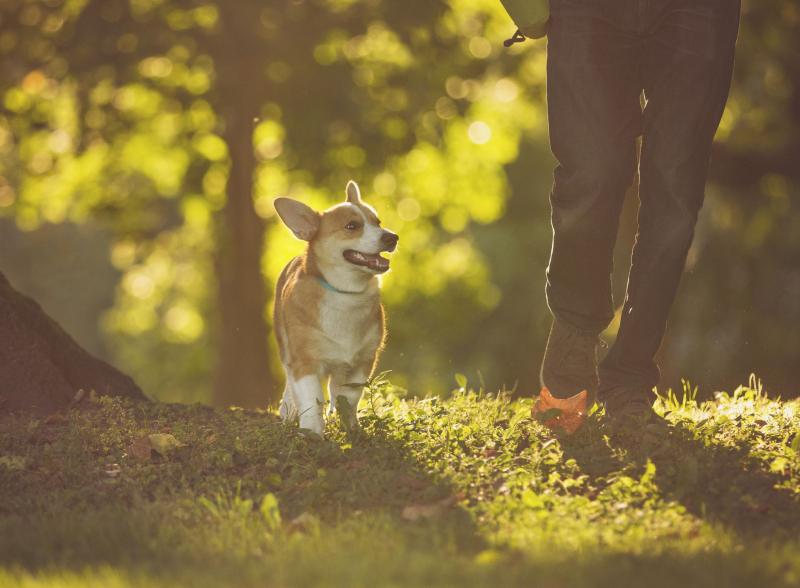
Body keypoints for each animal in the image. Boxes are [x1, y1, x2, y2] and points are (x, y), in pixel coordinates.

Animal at [274, 180, 398, 436]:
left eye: (377, 222)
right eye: (352, 226)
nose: (392, 237)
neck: (344, 294)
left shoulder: (361, 362)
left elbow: (347, 398)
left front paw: (349, 426)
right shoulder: (304, 361)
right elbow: (310, 399)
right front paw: (312, 432)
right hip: (286, 349)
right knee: (291, 383)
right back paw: (288, 411)